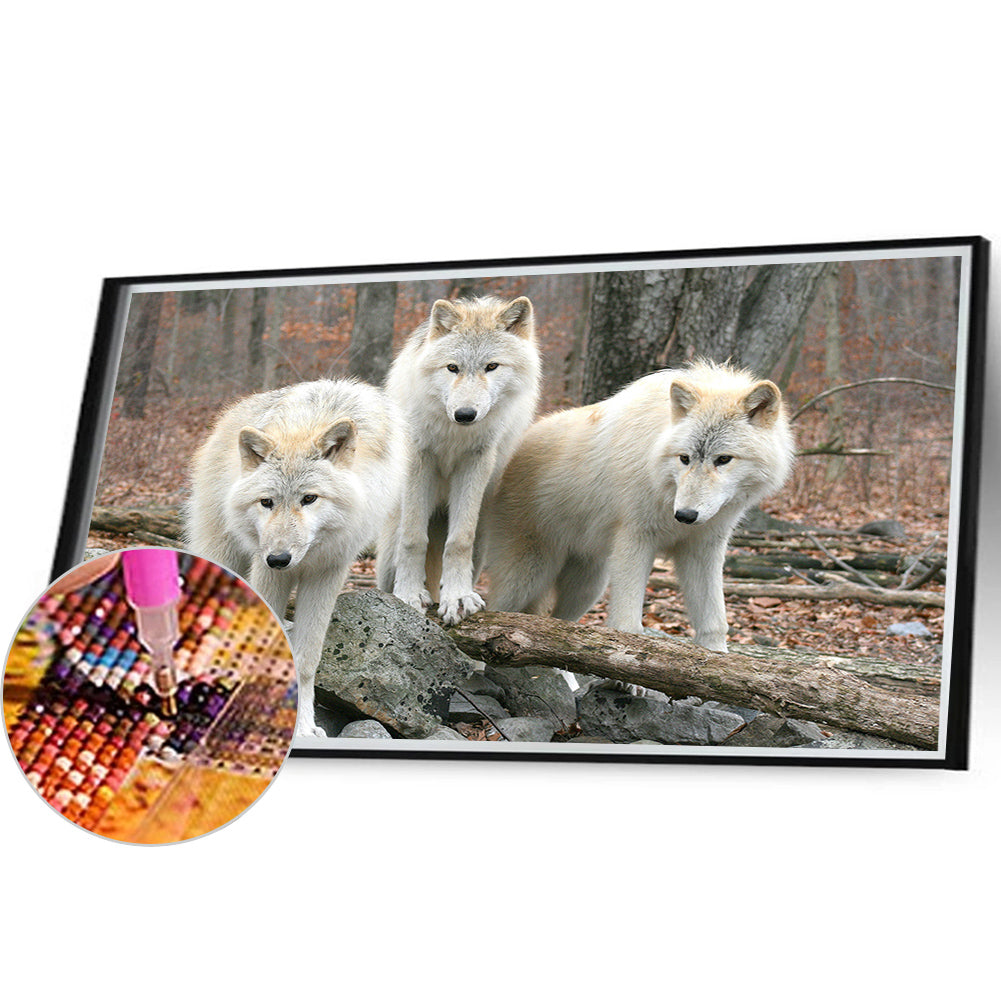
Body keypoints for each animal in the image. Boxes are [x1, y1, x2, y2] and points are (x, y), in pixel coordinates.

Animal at [185, 379, 406, 737]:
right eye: (267, 502)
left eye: (309, 499)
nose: (278, 558)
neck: (308, 424)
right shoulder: (267, 572)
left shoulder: (327, 573)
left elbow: (304, 660)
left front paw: (301, 727)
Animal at [376, 295, 542, 626]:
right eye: (452, 368)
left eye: (492, 366)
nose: (465, 414)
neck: (454, 433)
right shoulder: (420, 457)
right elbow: (413, 538)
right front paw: (409, 595)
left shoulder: (476, 461)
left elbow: (458, 542)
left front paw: (457, 598)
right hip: (388, 554)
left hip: (481, 540)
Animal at [484, 360, 795, 654]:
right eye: (684, 458)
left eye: (723, 459)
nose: (685, 515)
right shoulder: (636, 539)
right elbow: (627, 622)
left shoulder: (703, 547)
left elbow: (715, 620)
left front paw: (717, 658)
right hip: (528, 576)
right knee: (495, 610)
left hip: (589, 586)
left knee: (559, 624)